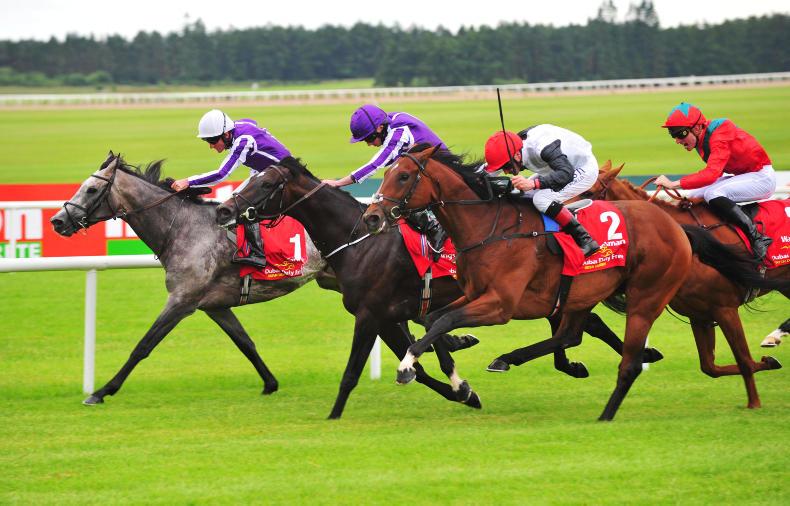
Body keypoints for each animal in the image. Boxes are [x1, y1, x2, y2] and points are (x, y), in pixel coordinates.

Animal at [50, 152, 333, 405]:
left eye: (91, 189)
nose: (57, 220)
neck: (182, 229)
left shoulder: (182, 300)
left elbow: (144, 345)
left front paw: (101, 392)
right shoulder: (214, 306)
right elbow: (245, 342)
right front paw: (270, 383)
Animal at [213, 157, 658, 417]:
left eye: (265, 184)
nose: (224, 209)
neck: (360, 241)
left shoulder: (373, 313)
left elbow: (356, 370)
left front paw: (334, 415)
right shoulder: (393, 315)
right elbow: (430, 353)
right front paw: (464, 389)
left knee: (582, 327)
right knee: (580, 327)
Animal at [361, 144, 779, 421]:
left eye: (402, 175)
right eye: (385, 174)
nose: (372, 217)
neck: (489, 229)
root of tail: (676, 226)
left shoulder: (500, 304)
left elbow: (442, 322)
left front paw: (407, 367)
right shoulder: (474, 295)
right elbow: (435, 322)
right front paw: (456, 380)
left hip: (647, 297)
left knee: (623, 359)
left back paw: (607, 412)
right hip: (583, 293)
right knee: (569, 335)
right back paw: (510, 359)